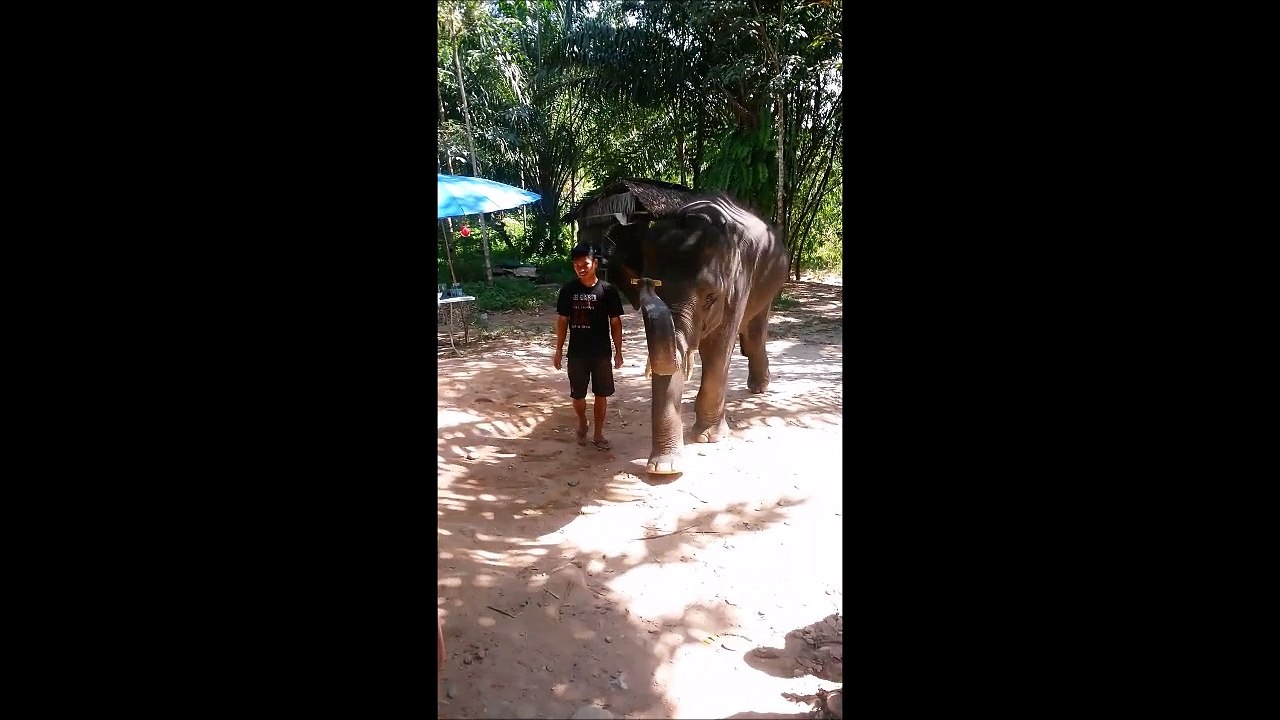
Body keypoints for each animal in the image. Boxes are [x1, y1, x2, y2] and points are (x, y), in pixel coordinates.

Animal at [606, 192, 790, 474]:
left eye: (710, 298)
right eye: (641, 289)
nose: (649, 282)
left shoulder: (740, 284)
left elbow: (717, 351)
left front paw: (707, 438)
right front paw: (664, 469)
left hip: (769, 284)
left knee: (754, 334)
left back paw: (759, 387)